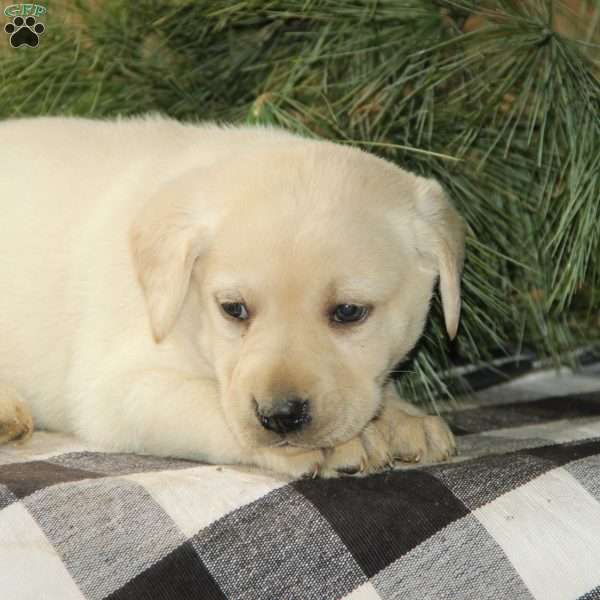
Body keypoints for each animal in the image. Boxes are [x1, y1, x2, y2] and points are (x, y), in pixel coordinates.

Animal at [0, 115, 464, 476]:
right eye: (233, 309)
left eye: (349, 312)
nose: (280, 416)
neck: (188, 315)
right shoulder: (118, 390)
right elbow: (213, 406)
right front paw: (343, 444)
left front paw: (401, 418)